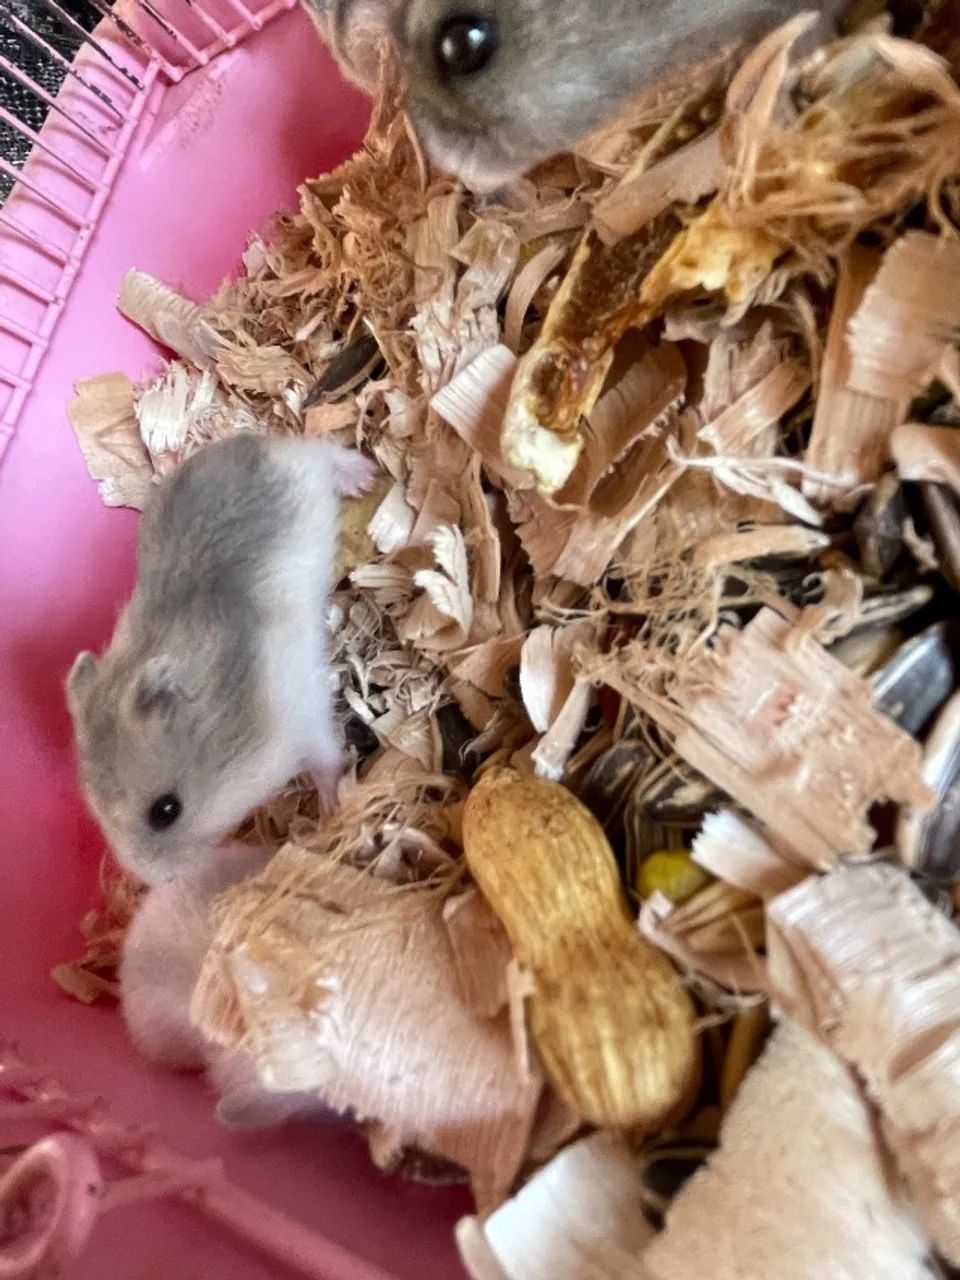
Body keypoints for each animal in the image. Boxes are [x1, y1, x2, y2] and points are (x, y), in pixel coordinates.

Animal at [66, 433, 376, 887]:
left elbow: (325, 762)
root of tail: (251, 440)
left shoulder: (306, 719)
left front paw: (332, 809)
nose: (161, 881)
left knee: (321, 449)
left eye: (166, 811)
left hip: (307, 473)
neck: (232, 719)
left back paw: (362, 475)